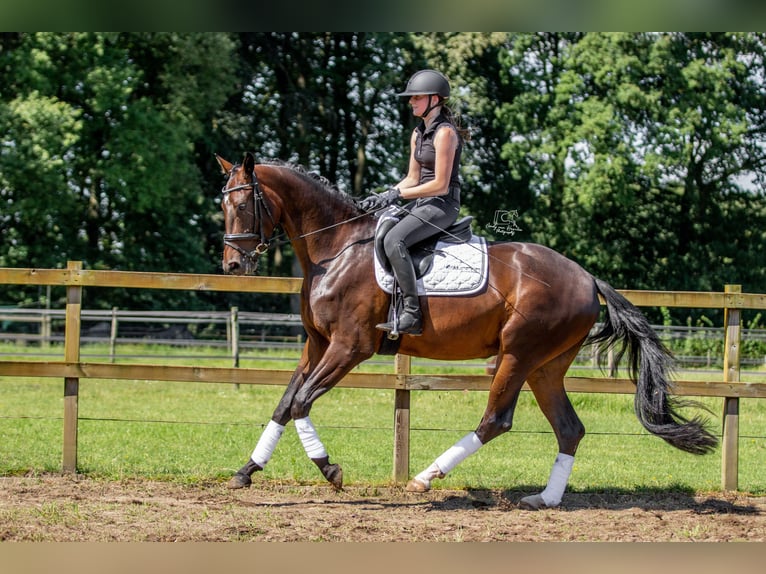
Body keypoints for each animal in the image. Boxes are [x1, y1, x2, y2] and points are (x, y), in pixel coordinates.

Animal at [216, 153, 720, 512]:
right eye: (222, 206)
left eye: (241, 205)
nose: (233, 265)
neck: (335, 249)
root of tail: (586, 277)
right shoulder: (317, 344)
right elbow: (284, 404)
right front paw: (245, 471)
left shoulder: (349, 346)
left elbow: (302, 402)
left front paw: (330, 469)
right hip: (546, 366)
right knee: (569, 428)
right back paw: (545, 499)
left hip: (517, 354)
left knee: (496, 420)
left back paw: (424, 478)